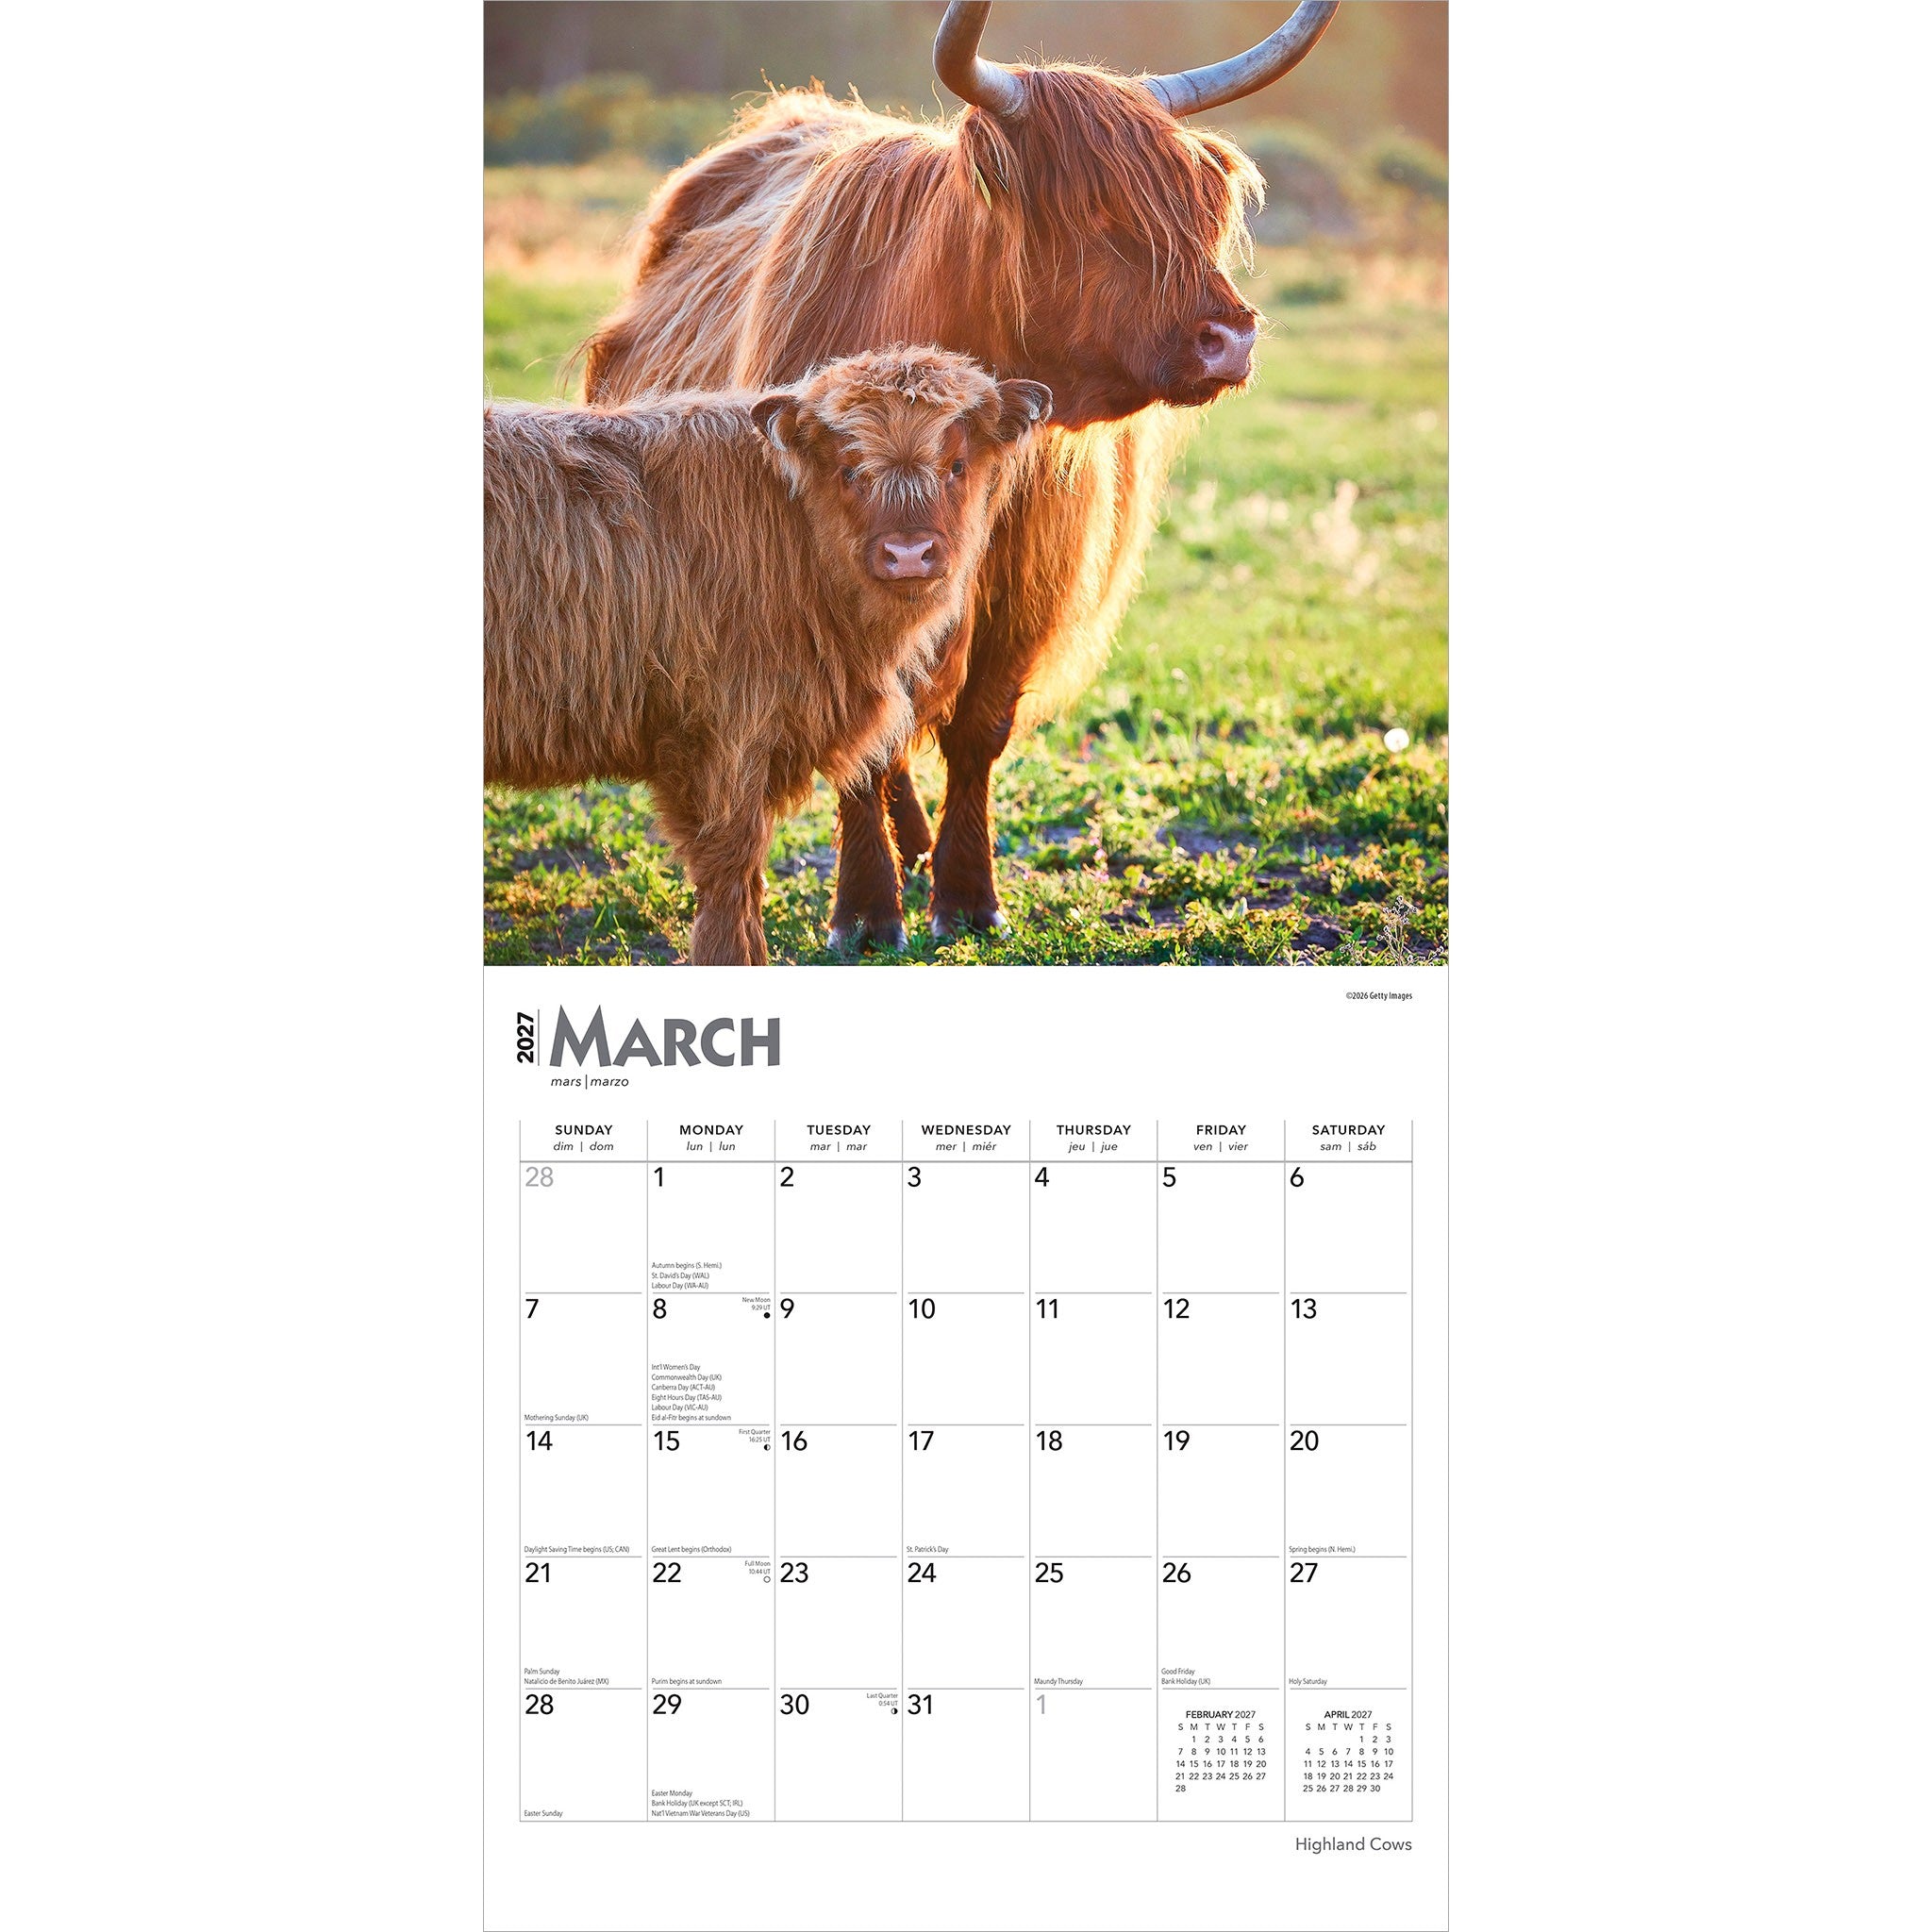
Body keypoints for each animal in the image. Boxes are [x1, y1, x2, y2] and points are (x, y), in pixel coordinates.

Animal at [580, 1, 1338, 949]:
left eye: (1201, 206)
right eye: (1093, 211)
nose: (1229, 337)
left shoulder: (1025, 583)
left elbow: (979, 730)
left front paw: (969, 895)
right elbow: (865, 743)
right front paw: (867, 912)